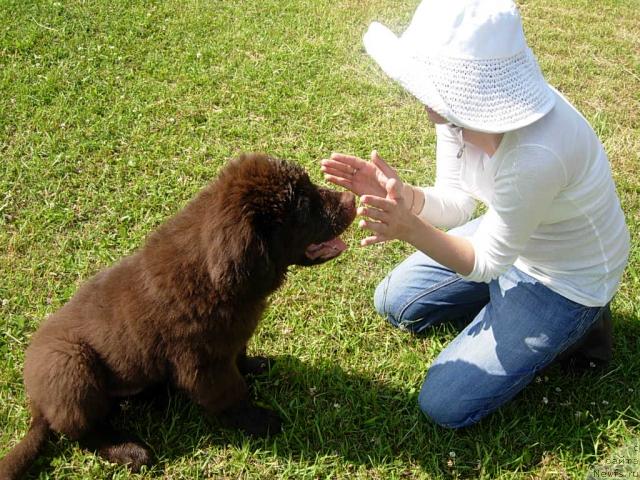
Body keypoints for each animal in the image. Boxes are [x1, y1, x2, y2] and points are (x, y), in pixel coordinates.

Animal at [0, 154, 356, 476]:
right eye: (305, 206)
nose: (352, 199)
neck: (216, 281)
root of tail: (37, 406)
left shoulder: (230, 340)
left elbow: (239, 356)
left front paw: (256, 365)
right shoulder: (202, 363)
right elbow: (231, 393)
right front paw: (258, 420)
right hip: (70, 366)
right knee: (82, 430)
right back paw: (128, 450)